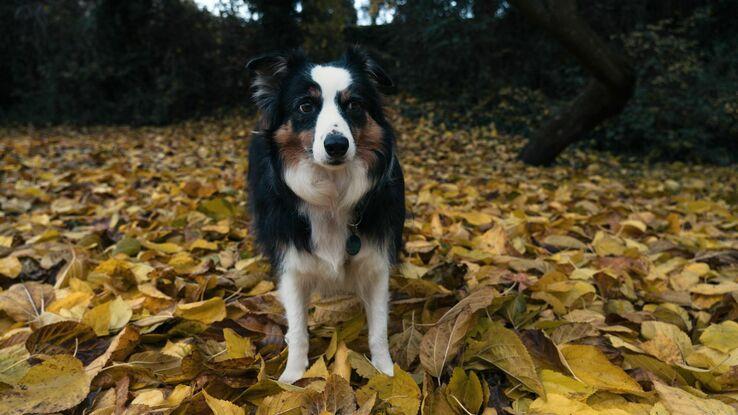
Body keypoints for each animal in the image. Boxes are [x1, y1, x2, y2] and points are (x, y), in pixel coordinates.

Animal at [244, 46, 402, 384]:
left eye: (354, 105)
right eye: (305, 105)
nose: (336, 145)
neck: (332, 194)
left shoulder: (375, 262)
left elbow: (379, 328)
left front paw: (385, 372)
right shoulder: (291, 264)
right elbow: (298, 328)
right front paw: (292, 377)